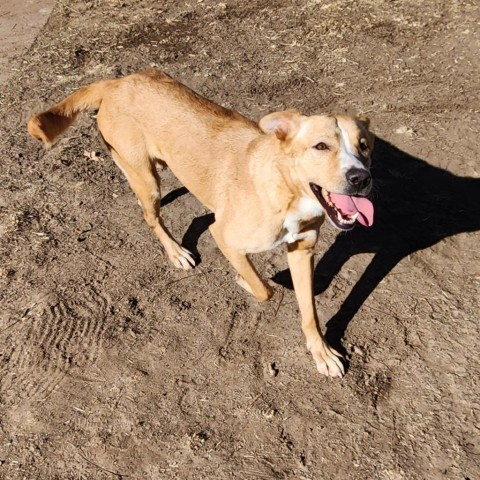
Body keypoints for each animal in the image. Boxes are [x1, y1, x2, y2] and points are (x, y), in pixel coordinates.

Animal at [28, 70, 376, 378]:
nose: (361, 178)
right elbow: (263, 289)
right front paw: (244, 280)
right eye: (321, 146)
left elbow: (310, 312)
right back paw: (176, 252)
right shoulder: (223, 235)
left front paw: (322, 353)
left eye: (364, 146)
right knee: (151, 216)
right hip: (146, 178)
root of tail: (117, 82)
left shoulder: (303, 249)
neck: (285, 187)